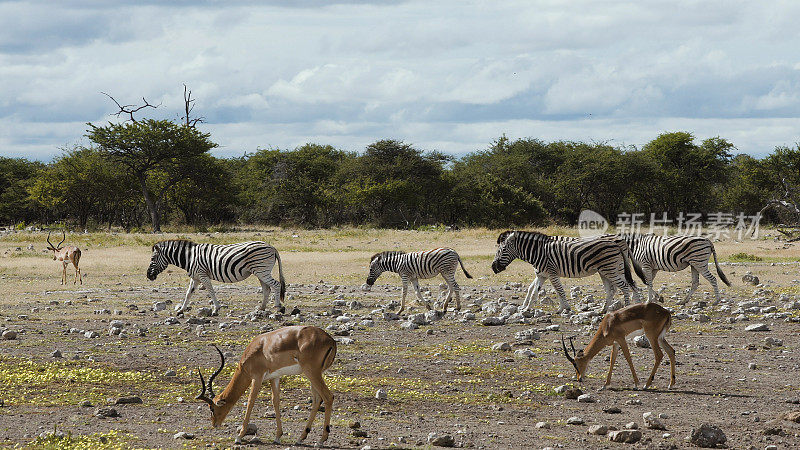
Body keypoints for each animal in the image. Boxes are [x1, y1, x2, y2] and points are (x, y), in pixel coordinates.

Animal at [145, 239, 286, 316]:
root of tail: (272, 247)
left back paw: (278, 308)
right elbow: (188, 294)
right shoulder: (195, 277)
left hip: (261, 270)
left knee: (276, 285)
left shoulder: (202, 274)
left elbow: (211, 291)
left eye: (152, 259)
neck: (190, 257)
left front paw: (215, 310)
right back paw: (261, 308)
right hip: (260, 272)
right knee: (267, 289)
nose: (148, 276)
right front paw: (181, 310)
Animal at [195, 326, 336, 444]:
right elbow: (275, 401)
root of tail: (331, 340)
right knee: (317, 400)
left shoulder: (257, 377)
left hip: (311, 372)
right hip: (314, 375)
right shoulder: (274, 377)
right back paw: (301, 438)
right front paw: (277, 437)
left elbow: (251, 401)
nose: (214, 424)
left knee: (328, 397)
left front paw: (239, 436)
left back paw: (321, 440)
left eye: (212, 408)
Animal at [494, 232, 644, 312]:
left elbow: (559, 290)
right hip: (606, 270)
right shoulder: (542, 274)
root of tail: (618, 242)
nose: (494, 268)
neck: (538, 251)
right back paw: (604, 310)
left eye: (502, 250)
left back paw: (627, 308)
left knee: (625, 286)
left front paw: (565, 308)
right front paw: (526, 308)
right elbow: (534, 291)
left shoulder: (551, 272)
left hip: (612, 268)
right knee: (616, 288)